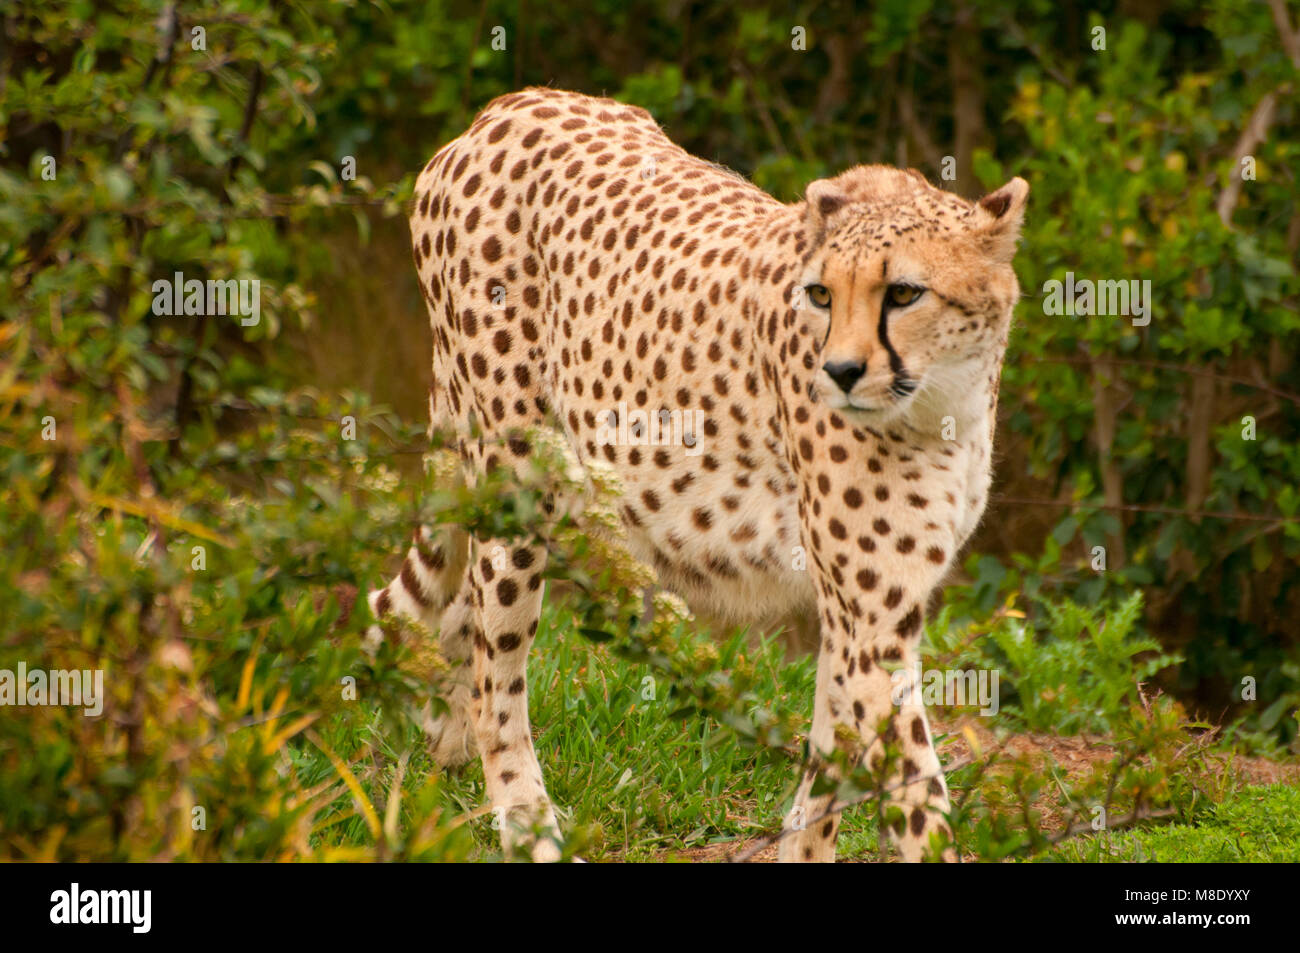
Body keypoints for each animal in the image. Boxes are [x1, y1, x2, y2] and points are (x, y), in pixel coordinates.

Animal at [371, 89, 1029, 863]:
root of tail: (511, 105)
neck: (940, 402)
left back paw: (437, 737)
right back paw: (525, 817)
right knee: (496, 667)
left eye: (903, 293)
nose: (838, 371)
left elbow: (835, 749)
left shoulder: (860, 610)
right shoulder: (873, 616)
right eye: (820, 294)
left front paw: (804, 849)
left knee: (440, 619)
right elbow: (915, 791)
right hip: (518, 480)